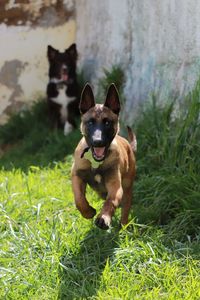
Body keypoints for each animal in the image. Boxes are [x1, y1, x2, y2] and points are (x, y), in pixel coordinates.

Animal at [70, 83, 136, 229]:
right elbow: (79, 199)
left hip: (127, 188)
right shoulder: (77, 176)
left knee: (125, 208)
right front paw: (88, 212)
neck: (96, 162)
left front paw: (104, 217)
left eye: (107, 123)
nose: (98, 142)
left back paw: (123, 227)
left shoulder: (115, 186)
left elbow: (110, 201)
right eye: (90, 122)